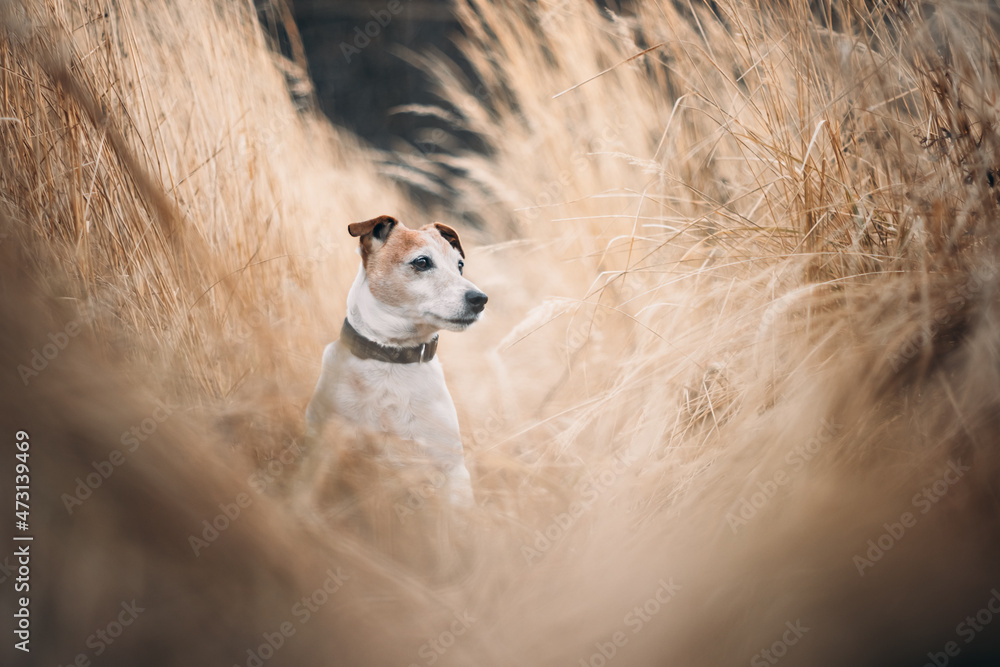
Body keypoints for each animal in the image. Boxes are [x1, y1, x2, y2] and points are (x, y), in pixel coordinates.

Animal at [300, 217, 488, 508]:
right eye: (422, 262)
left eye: (459, 265)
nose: (480, 299)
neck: (393, 358)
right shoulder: (328, 445)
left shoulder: (451, 469)